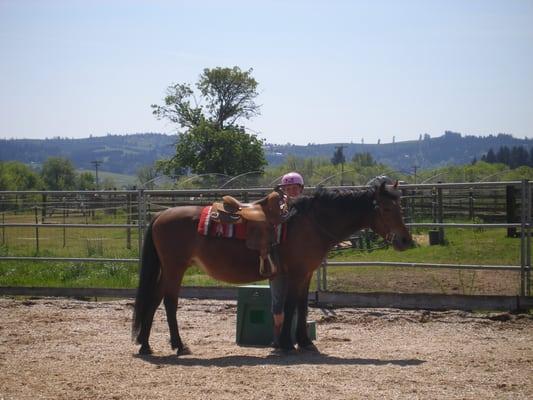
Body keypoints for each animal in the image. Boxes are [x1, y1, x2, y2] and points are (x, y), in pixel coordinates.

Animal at [130, 181, 412, 354]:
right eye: (387, 207)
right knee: (169, 302)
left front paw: (304, 342)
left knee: (153, 300)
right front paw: (287, 343)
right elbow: (290, 305)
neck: (310, 222)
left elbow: (302, 305)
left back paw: (145, 345)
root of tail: (160, 215)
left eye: (400, 206)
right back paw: (179, 345)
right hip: (175, 268)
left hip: (168, 269)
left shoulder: (306, 274)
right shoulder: (296, 273)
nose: (405, 240)